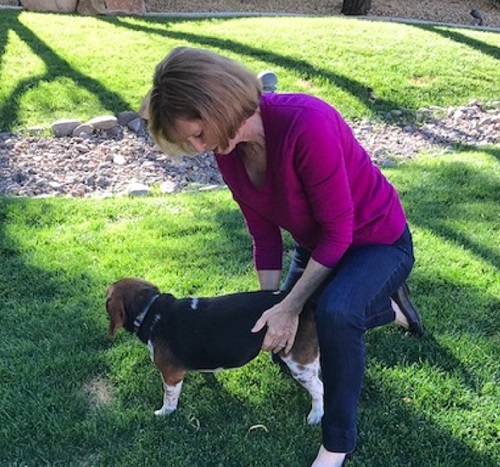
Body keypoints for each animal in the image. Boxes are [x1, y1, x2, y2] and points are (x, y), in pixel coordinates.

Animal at [106, 280, 324, 426]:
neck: (150, 311)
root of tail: (307, 305)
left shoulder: (171, 374)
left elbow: (169, 397)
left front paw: (164, 413)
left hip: (300, 364)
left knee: (319, 388)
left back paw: (315, 416)